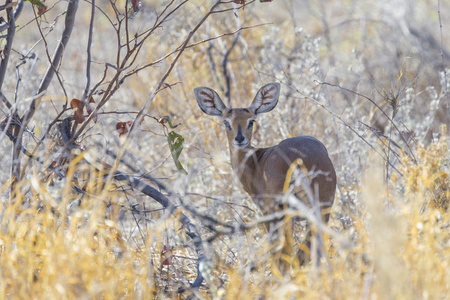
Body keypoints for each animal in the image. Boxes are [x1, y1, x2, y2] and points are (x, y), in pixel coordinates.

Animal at [195, 83, 336, 264]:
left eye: (251, 121)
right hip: (322, 208)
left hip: (282, 212)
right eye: (226, 121)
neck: (254, 161)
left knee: (286, 252)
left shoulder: (266, 210)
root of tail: (303, 162)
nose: (239, 138)